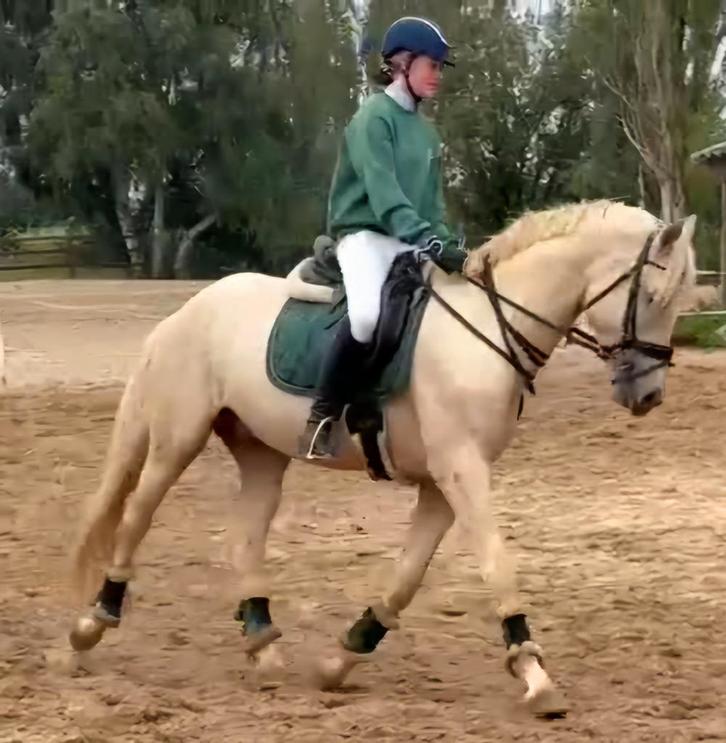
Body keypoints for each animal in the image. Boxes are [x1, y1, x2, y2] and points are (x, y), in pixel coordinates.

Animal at [67, 200, 697, 718]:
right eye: (651, 297)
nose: (647, 395)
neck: (489, 328)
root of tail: (188, 311)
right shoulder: (461, 469)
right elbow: (497, 564)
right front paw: (536, 675)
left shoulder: (442, 484)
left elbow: (405, 580)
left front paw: (341, 659)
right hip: (178, 439)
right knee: (136, 519)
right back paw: (92, 626)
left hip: (261, 452)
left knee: (243, 539)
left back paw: (263, 648)